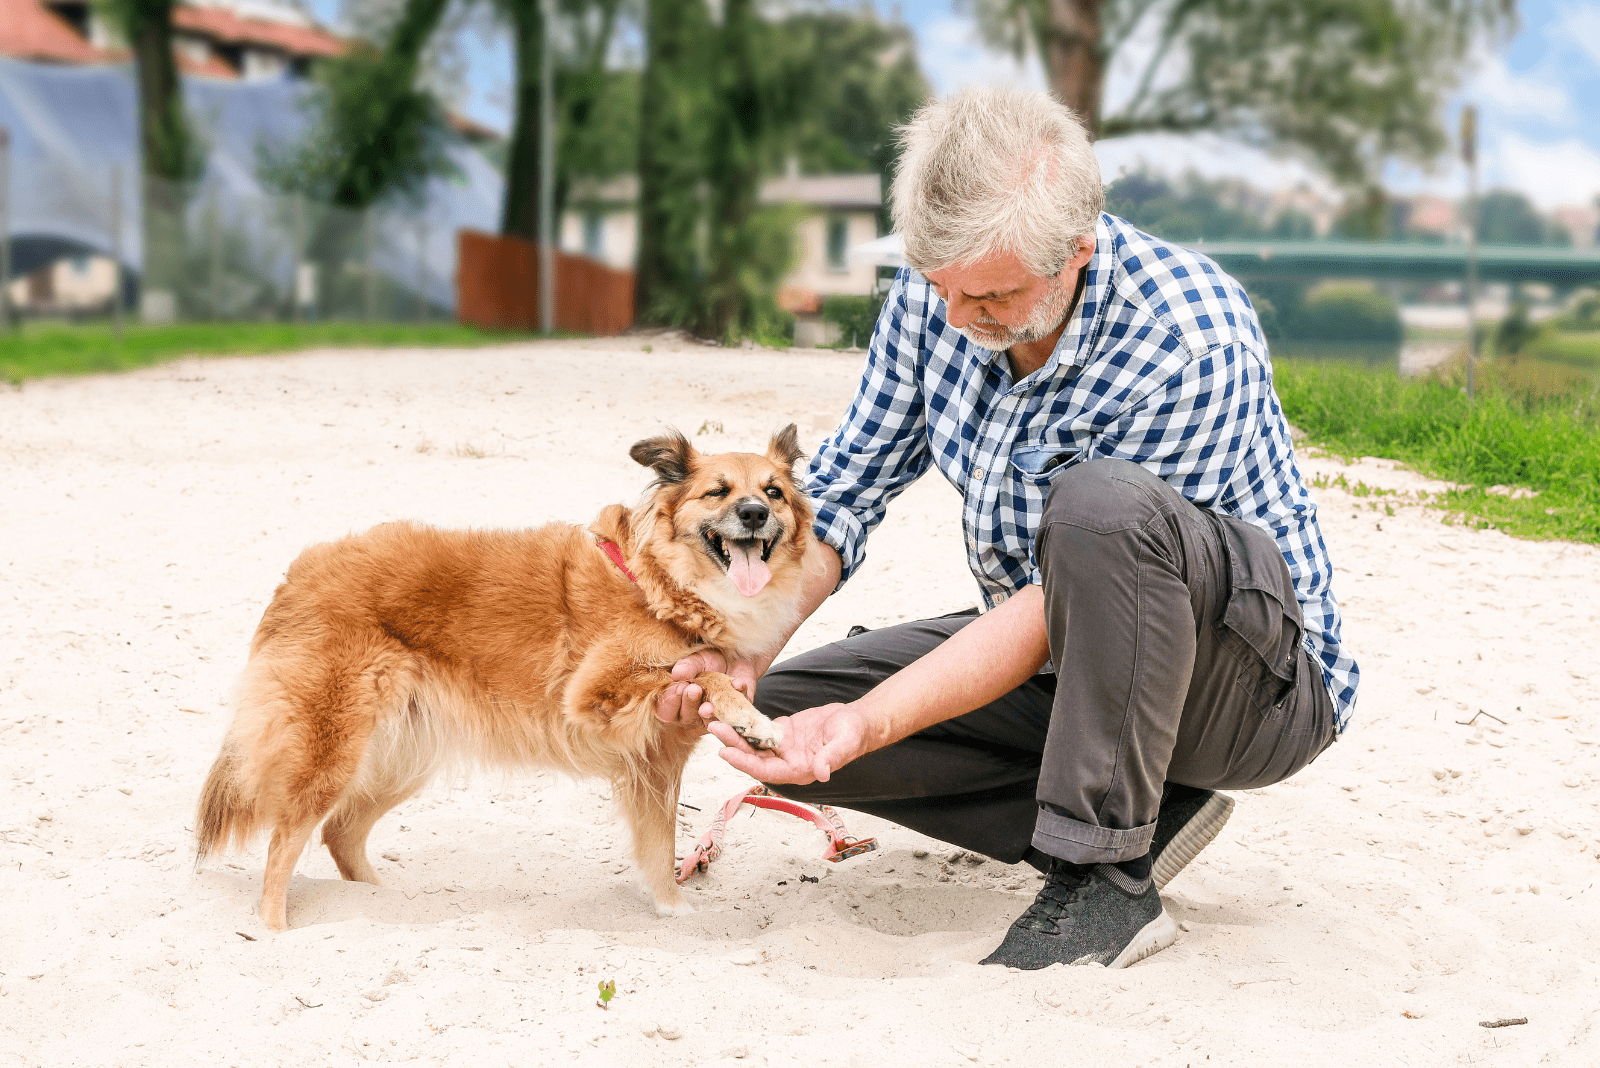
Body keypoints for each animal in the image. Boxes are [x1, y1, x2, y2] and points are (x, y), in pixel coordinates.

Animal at [195, 425, 812, 927]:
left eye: (773, 493)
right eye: (718, 491)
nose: (754, 514)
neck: (661, 585)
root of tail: (298, 574)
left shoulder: (657, 759)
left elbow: (660, 847)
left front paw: (672, 910)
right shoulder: (595, 695)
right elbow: (708, 680)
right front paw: (754, 721)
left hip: (403, 756)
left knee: (339, 834)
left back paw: (382, 905)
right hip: (332, 752)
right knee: (284, 845)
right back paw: (276, 931)